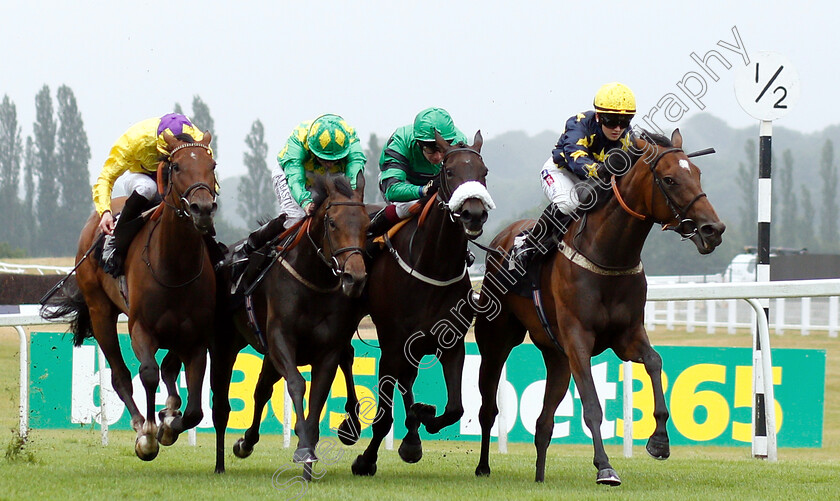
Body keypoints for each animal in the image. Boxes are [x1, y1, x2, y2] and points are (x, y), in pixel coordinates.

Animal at [41, 131, 217, 458]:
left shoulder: (196, 336)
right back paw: (140, 423)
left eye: (212, 165)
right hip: (100, 312)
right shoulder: (141, 328)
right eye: (176, 167)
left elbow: (194, 409)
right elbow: (147, 373)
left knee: (168, 370)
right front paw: (148, 434)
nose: (202, 209)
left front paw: (169, 422)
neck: (175, 267)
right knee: (120, 375)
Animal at [210, 173, 368, 476]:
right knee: (222, 405)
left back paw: (246, 442)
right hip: (227, 344)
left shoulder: (327, 351)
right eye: (333, 222)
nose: (355, 277)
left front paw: (308, 454)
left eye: (366, 223)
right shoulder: (281, 339)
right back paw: (221, 463)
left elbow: (318, 396)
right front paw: (302, 447)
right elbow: (296, 383)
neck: (313, 280)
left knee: (262, 390)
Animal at [346, 130, 492, 476]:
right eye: (449, 172)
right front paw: (365, 460)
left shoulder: (452, 343)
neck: (434, 265)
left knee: (408, 382)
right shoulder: (391, 343)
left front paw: (423, 416)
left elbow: (455, 408)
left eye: (484, 172)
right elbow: (384, 416)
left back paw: (413, 436)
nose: (474, 213)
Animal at [476, 129, 724, 484]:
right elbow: (593, 405)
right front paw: (605, 466)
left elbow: (655, 361)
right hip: (497, 340)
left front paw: (659, 441)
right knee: (487, 406)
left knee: (543, 423)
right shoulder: (578, 338)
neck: (608, 255)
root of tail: (499, 242)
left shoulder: (627, 335)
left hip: (556, 356)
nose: (713, 229)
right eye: (670, 179)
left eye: (698, 173)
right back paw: (483, 466)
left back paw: (539, 477)